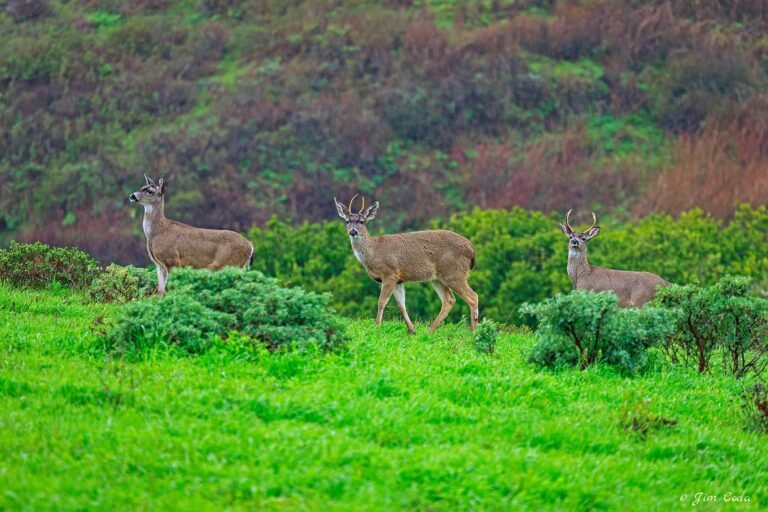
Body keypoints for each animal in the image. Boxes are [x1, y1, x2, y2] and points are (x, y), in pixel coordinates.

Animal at [334, 195, 479, 334]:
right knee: (449, 300)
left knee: (473, 296)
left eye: (361, 221)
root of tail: (471, 249)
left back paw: (473, 332)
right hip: (438, 278)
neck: (373, 252)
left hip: (453, 273)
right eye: (347, 221)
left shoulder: (389, 273)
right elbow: (401, 305)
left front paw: (377, 327)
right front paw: (412, 330)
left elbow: (381, 302)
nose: (353, 231)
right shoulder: (399, 280)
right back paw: (430, 330)